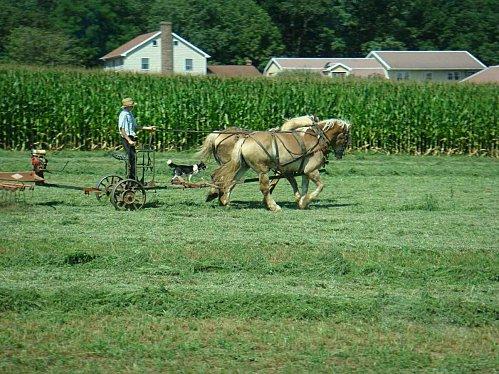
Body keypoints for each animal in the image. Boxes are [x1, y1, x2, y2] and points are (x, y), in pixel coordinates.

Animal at [211, 120, 352, 210]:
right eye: (346, 137)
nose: (340, 154)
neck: (317, 139)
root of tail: (245, 139)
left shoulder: (302, 171)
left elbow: (303, 186)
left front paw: (302, 202)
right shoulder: (311, 170)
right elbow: (320, 186)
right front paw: (307, 200)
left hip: (243, 166)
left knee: (232, 181)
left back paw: (224, 200)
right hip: (262, 170)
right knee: (264, 188)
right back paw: (273, 206)